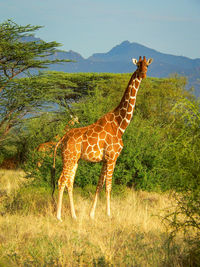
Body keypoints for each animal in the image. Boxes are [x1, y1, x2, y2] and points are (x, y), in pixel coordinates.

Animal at [52, 55, 153, 221]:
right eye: (138, 65)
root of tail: (62, 139)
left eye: (147, 66)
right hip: (69, 158)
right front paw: (109, 214)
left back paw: (74, 216)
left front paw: (91, 214)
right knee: (62, 181)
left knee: (69, 182)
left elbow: (99, 184)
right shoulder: (112, 157)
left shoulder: (106, 159)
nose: (143, 74)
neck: (120, 125)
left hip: (74, 159)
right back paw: (59, 217)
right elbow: (109, 185)